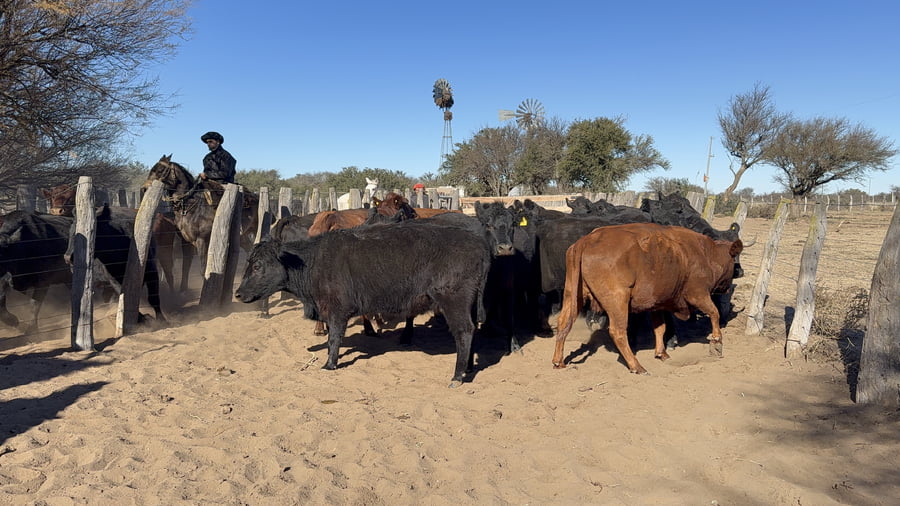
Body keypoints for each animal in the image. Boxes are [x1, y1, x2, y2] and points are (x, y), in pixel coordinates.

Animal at [234, 219, 492, 387]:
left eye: (257, 265)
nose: (237, 294)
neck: (313, 261)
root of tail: (478, 243)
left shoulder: (337, 310)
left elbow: (334, 338)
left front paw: (330, 364)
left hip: (454, 301)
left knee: (464, 331)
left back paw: (457, 376)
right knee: (472, 331)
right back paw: (469, 368)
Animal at [551, 222, 743, 374]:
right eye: (733, 259)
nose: (740, 272)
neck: (705, 253)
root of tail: (586, 241)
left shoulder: (657, 305)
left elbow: (660, 328)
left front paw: (662, 353)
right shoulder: (698, 294)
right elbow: (714, 312)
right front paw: (717, 341)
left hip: (573, 295)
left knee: (564, 322)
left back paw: (558, 362)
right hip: (618, 300)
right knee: (618, 332)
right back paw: (637, 366)